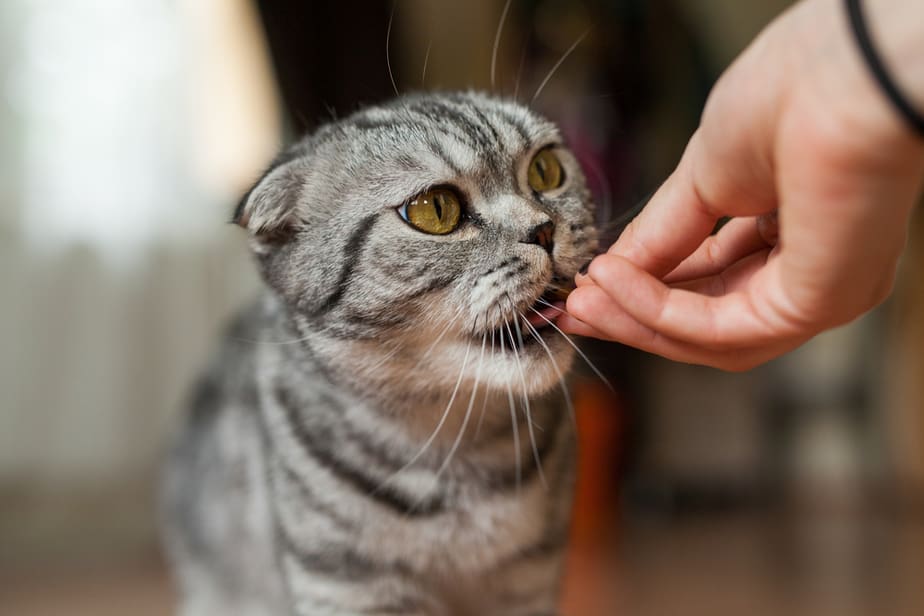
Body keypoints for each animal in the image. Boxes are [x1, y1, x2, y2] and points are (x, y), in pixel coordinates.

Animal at [162, 91, 600, 616]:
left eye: (546, 171)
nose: (544, 230)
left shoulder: (529, 580)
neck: (460, 449)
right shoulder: (349, 586)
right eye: (435, 209)